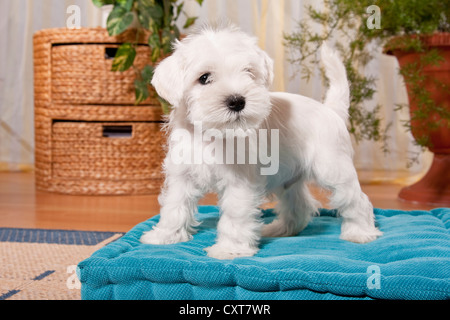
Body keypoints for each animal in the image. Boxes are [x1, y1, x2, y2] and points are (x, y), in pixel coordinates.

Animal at [140, 25, 380, 260]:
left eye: (248, 72)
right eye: (204, 78)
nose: (237, 101)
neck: (212, 135)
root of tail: (331, 110)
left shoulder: (239, 182)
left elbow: (235, 216)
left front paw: (230, 249)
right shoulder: (182, 176)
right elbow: (174, 206)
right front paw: (164, 236)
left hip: (332, 170)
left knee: (357, 200)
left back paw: (360, 232)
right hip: (288, 178)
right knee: (300, 207)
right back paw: (279, 229)